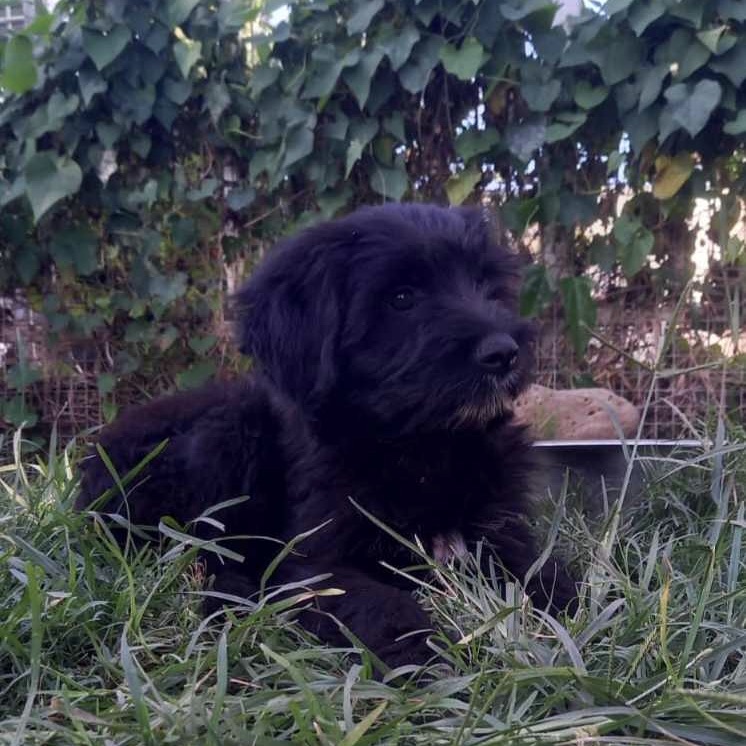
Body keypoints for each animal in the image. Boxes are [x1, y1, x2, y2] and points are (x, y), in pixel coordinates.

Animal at [78, 202, 572, 668]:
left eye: (487, 284)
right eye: (402, 297)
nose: (503, 352)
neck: (426, 448)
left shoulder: (501, 531)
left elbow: (543, 572)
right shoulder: (314, 564)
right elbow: (382, 606)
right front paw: (427, 661)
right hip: (223, 434)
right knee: (198, 553)